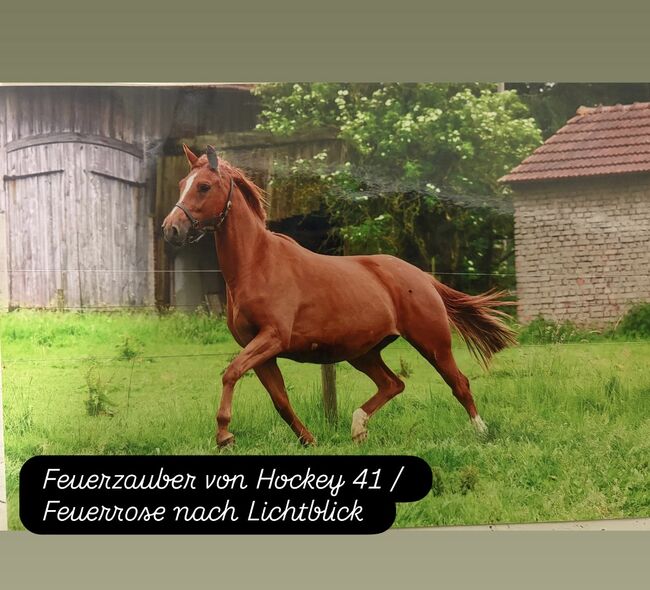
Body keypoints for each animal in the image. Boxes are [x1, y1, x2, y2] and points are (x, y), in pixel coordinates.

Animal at [162, 145, 516, 447]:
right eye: (180, 183)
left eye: (203, 186)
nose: (170, 229)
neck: (256, 264)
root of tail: (423, 277)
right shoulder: (260, 350)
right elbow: (280, 400)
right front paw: (309, 440)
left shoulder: (272, 337)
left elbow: (232, 373)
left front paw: (224, 435)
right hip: (364, 352)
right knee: (393, 384)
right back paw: (358, 428)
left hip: (432, 343)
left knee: (459, 383)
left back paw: (481, 432)